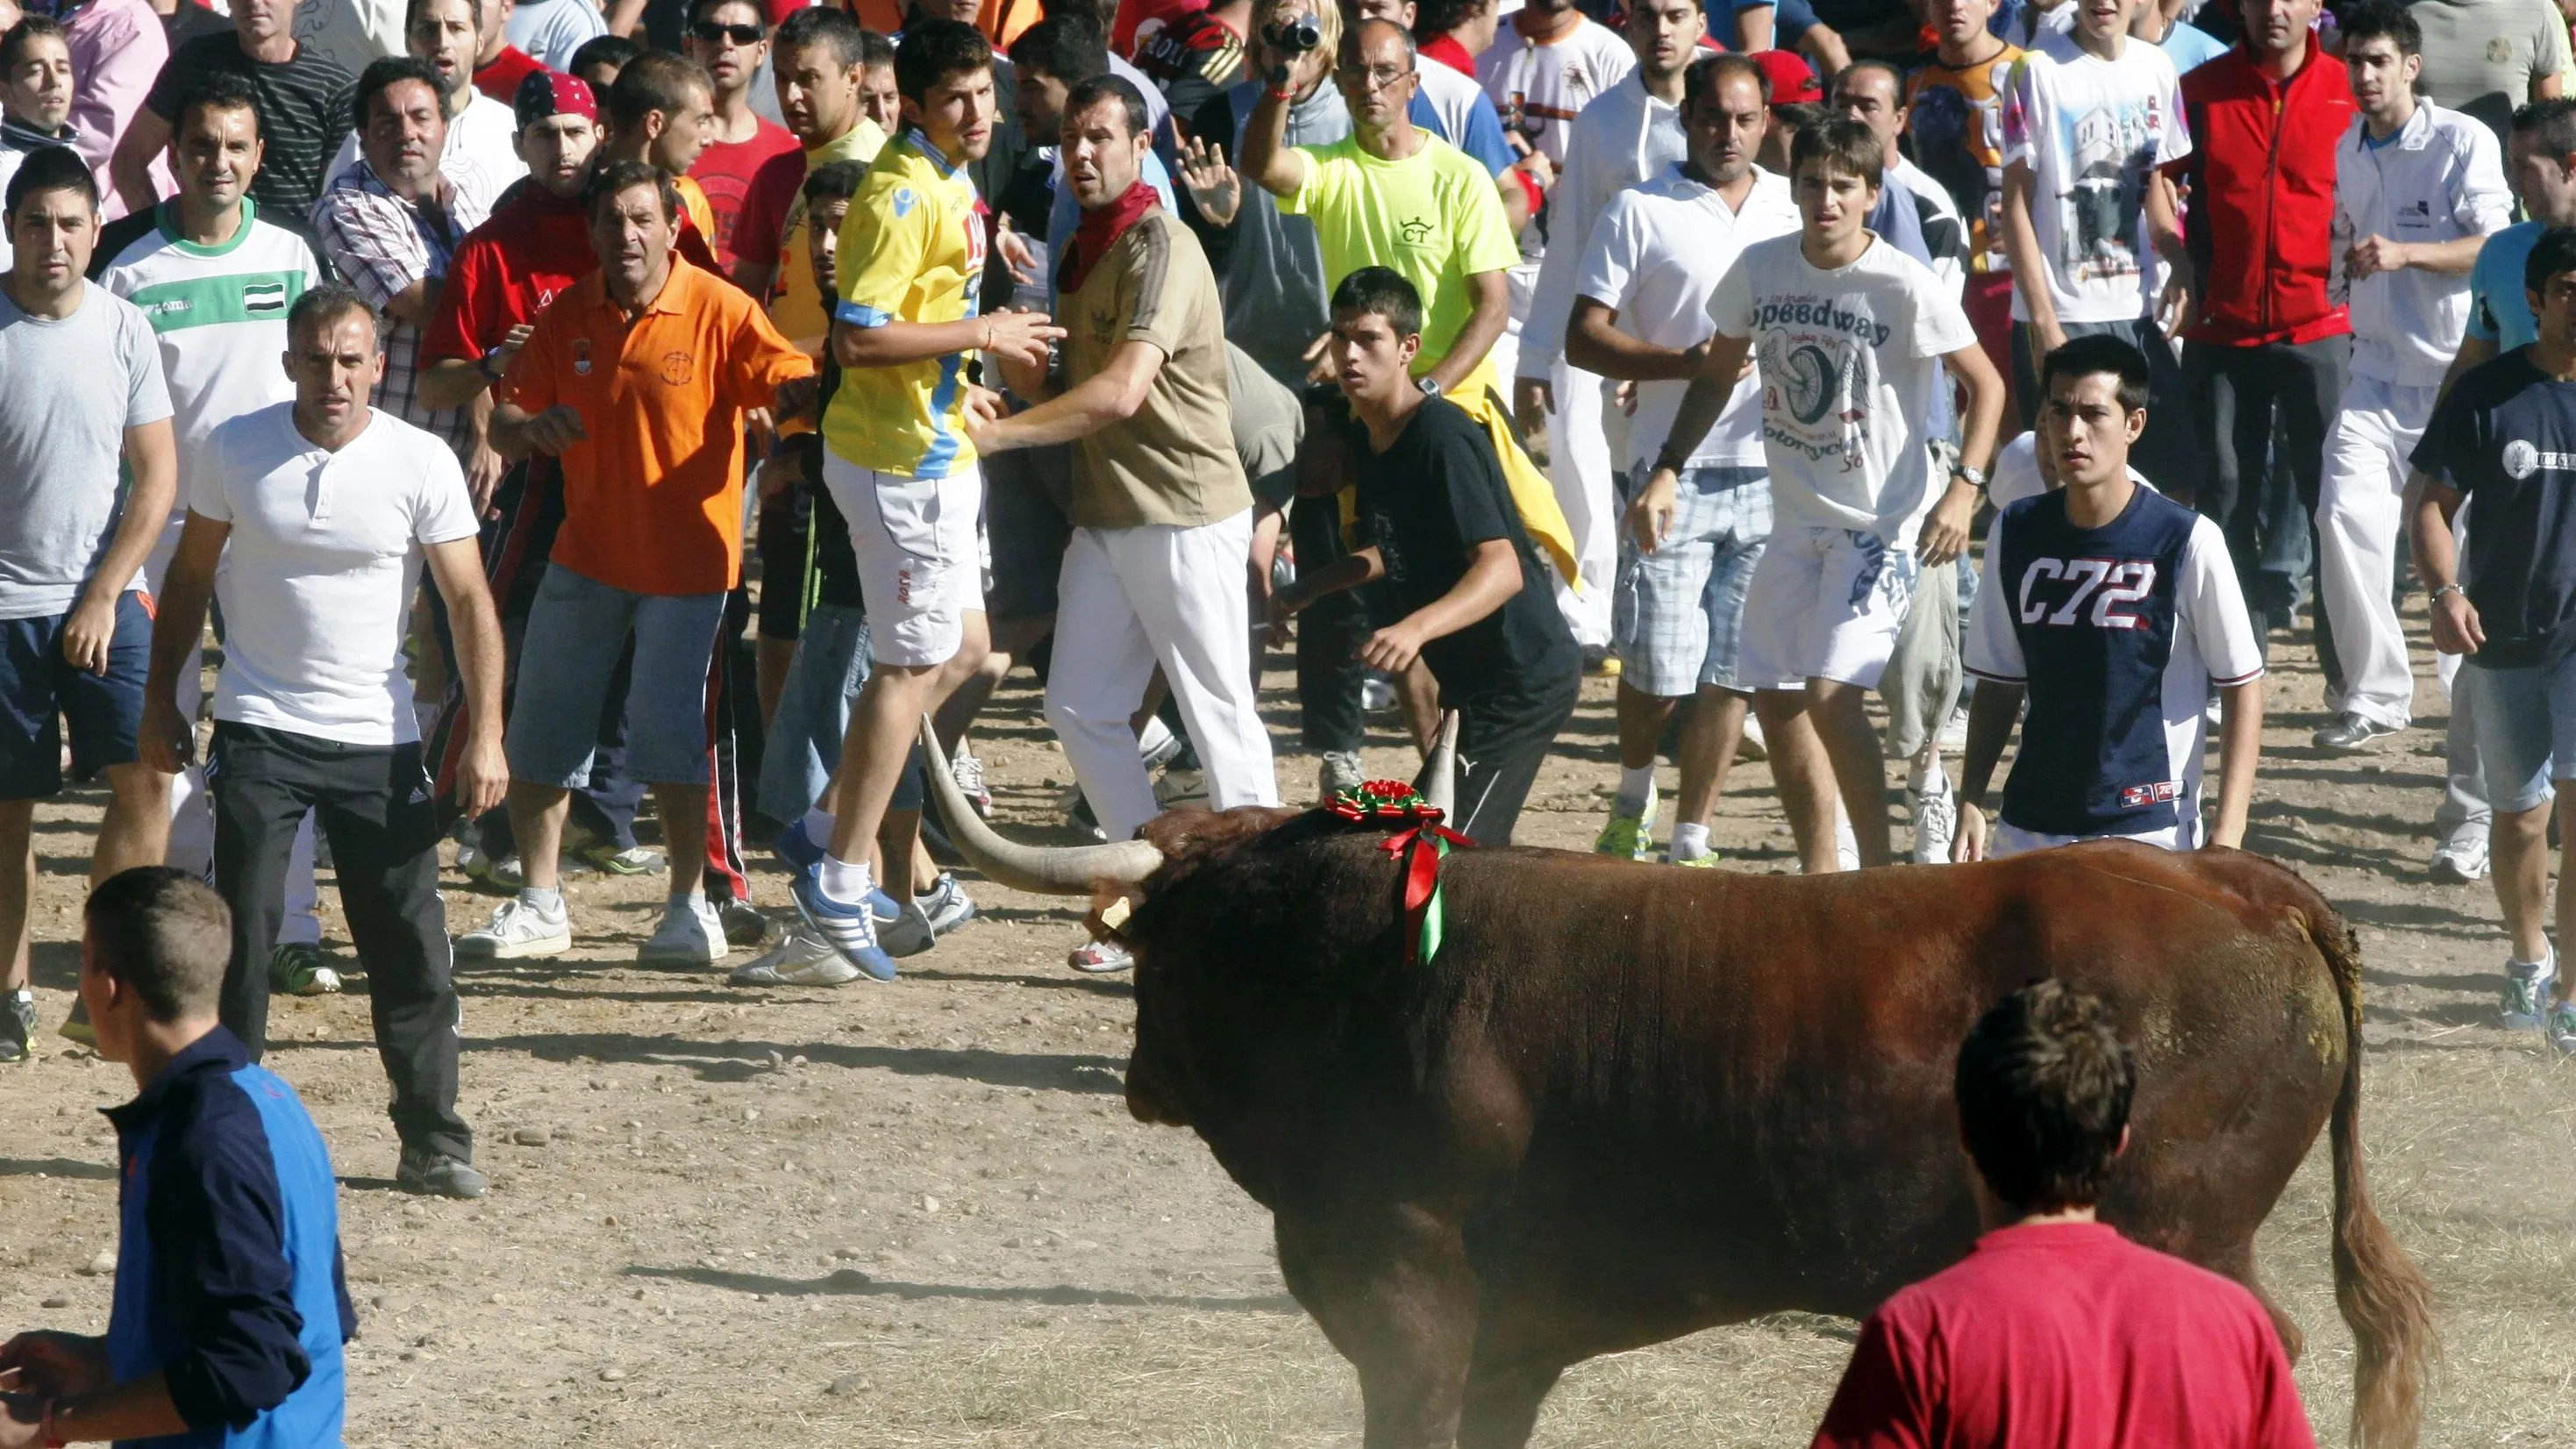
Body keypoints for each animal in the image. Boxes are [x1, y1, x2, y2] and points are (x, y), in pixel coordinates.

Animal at [927, 726, 2431, 1444]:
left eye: (1153, 949)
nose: (1138, 1078)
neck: (1370, 973)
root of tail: (2242, 878)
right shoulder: (1508, 1342)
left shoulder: (1410, 1303)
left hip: (2185, 1233)